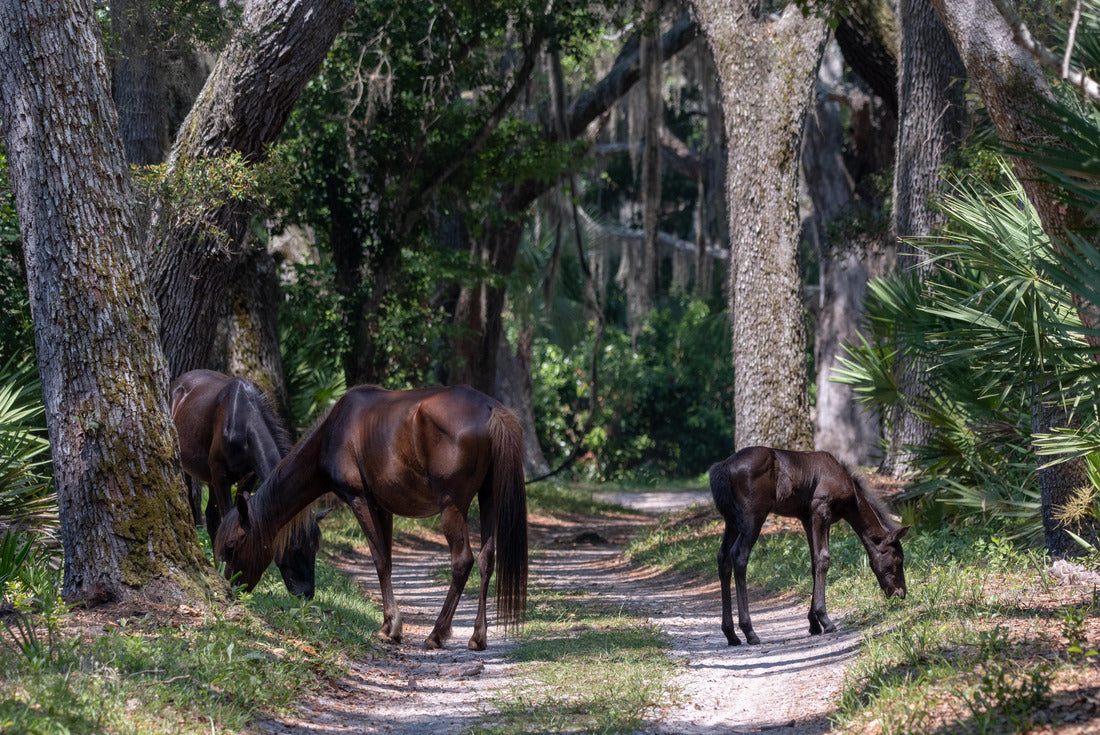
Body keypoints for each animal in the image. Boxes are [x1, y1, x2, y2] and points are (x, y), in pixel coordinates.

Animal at [170, 369, 325, 599]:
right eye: (293, 547)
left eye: (314, 549)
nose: (306, 594)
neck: (243, 421)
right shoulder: (220, 473)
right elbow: (226, 519)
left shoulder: (249, 476)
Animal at [214, 383, 528, 651]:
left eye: (231, 546)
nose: (230, 589)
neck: (333, 434)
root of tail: (489, 408)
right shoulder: (383, 507)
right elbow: (386, 558)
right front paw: (390, 623)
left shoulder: (360, 500)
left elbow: (379, 560)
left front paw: (390, 628)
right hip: (489, 498)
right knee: (487, 559)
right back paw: (478, 636)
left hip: (452, 507)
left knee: (463, 561)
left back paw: (437, 634)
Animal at [709, 446, 909, 646]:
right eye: (898, 559)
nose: (900, 593)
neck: (850, 493)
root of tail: (723, 467)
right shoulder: (821, 511)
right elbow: (823, 558)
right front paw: (825, 620)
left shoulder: (807, 519)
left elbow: (814, 562)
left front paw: (814, 623)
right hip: (752, 518)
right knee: (739, 556)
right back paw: (749, 631)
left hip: (731, 521)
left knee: (723, 558)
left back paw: (731, 634)